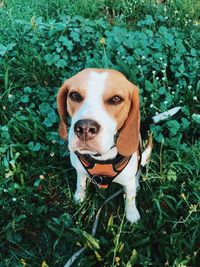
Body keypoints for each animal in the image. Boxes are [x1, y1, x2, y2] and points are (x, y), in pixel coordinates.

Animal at [57, 69, 152, 224]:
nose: (85, 128)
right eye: (75, 95)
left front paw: (132, 215)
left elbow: (130, 198)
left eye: (116, 99)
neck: (102, 158)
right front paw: (79, 198)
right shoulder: (80, 171)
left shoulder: (128, 182)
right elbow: (80, 184)